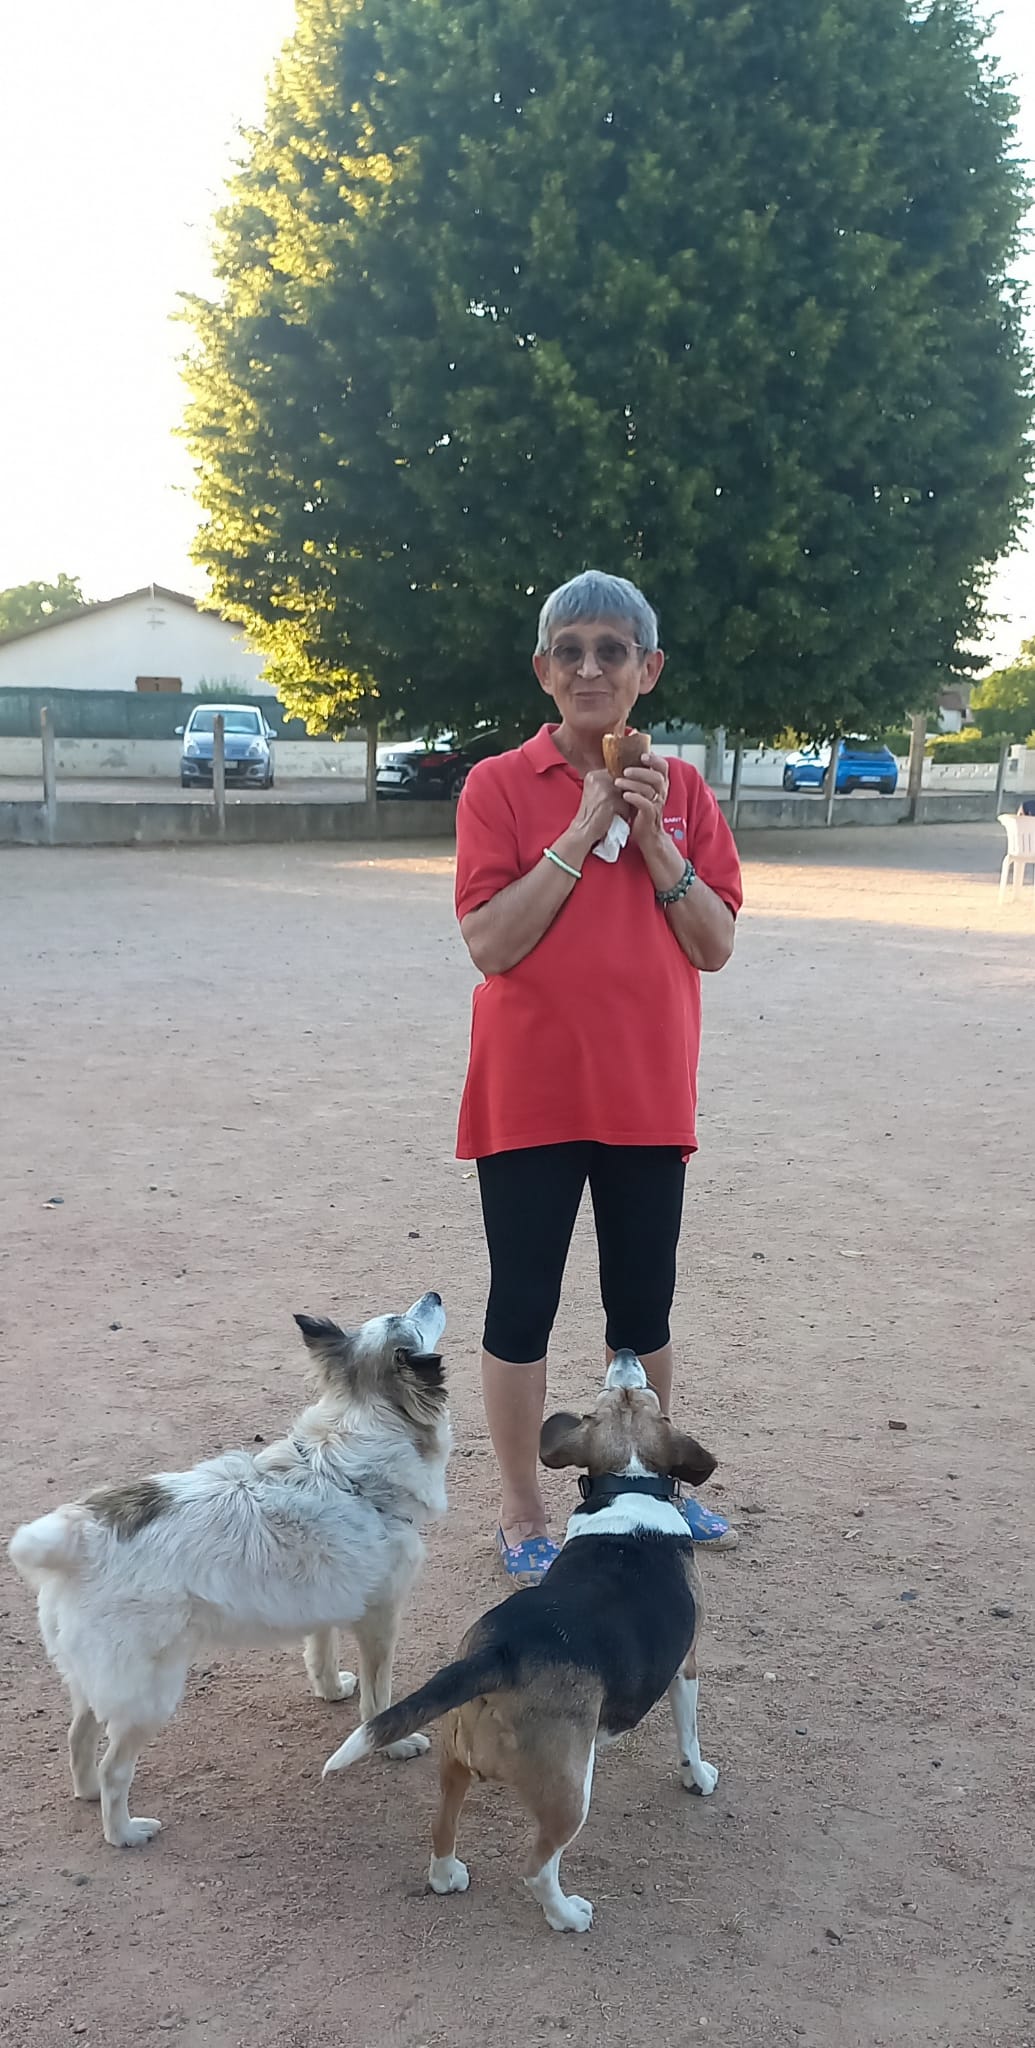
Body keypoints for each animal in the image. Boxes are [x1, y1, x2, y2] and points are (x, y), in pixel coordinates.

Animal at [9, 1286, 448, 1851]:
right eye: (409, 1322)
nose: (433, 1295)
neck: (355, 1454)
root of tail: (81, 1531)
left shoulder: (329, 1597)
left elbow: (320, 1653)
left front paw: (330, 1690)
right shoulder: (381, 1617)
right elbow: (380, 1700)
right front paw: (394, 1745)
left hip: (96, 1682)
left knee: (78, 1736)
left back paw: (86, 1795)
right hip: (148, 1696)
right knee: (113, 1768)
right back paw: (124, 1832)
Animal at [323, 1351, 717, 1925]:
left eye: (617, 1395)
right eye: (639, 1396)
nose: (625, 1356)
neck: (629, 1484)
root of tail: (498, 1654)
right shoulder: (685, 1666)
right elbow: (688, 1735)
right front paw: (698, 1777)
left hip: (453, 1761)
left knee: (442, 1826)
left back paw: (447, 1876)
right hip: (570, 1795)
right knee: (536, 1867)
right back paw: (568, 1915)